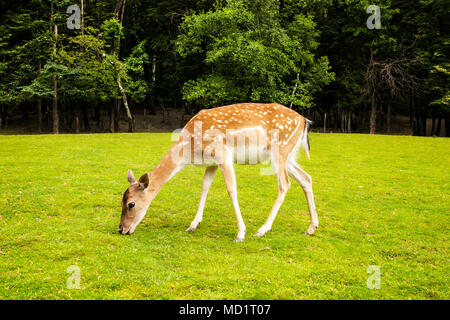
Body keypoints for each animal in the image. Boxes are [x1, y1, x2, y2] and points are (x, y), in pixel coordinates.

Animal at [118, 104, 318, 241]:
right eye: (122, 200)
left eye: (131, 204)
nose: (121, 229)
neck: (190, 150)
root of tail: (304, 121)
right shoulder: (211, 162)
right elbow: (204, 187)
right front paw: (193, 225)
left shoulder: (222, 153)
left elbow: (231, 190)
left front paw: (240, 233)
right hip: (288, 156)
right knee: (306, 178)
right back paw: (312, 227)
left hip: (280, 150)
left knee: (285, 184)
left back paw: (262, 229)